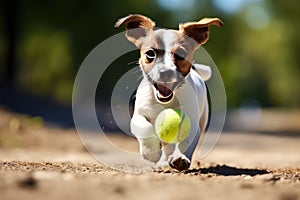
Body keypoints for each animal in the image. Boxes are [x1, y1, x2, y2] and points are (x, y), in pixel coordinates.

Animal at [115, 14, 223, 170]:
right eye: (150, 53)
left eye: (181, 54)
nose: (165, 72)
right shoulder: (138, 115)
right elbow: (144, 127)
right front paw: (151, 151)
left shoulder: (191, 121)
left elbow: (186, 141)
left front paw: (180, 157)